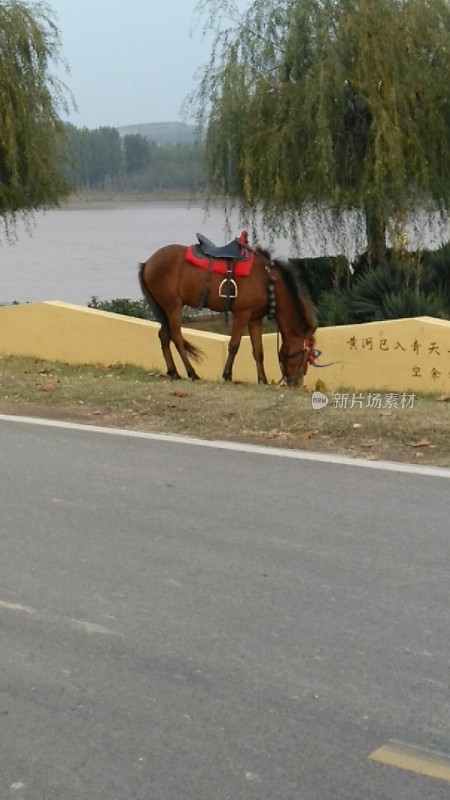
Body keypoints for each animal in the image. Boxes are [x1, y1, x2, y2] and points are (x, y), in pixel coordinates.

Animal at [139, 239, 318, 386]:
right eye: (305, 354)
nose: (296, 383)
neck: (266, 279)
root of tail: (148, 263)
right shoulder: (242, 314)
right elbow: (234, 345)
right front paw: (227, 375)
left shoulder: (255, 318)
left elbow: (258, 351)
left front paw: (263, 380)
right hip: (173, 306)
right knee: (176, 336)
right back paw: (191, 373)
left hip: (164, 308)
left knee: (164, 335)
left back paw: (174, 372)